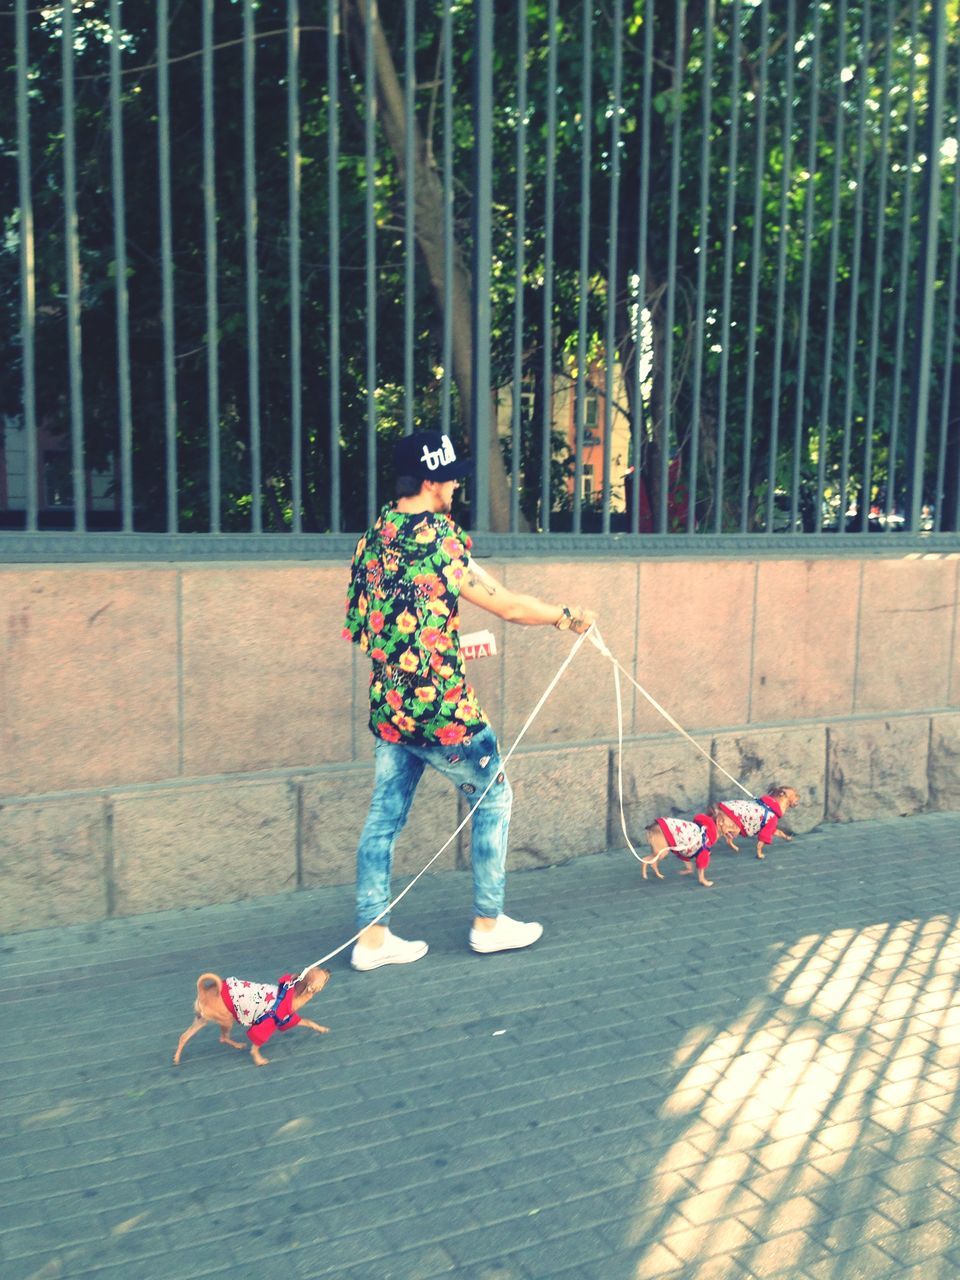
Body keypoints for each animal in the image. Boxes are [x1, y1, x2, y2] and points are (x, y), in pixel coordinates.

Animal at [175, 962, 332, 1064]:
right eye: (323, 975)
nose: (329, 969)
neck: (292, 993)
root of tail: (203, 992)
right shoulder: (265, 1026)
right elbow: (256, 1046)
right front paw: (258, 1060)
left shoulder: (289, 1019)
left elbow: (309, 1022)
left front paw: (321, 1029)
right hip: (226, 1020)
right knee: (223, 1038)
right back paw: (238, 1045)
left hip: (201, 1020)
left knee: (184, 1036)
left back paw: (176, 1058)